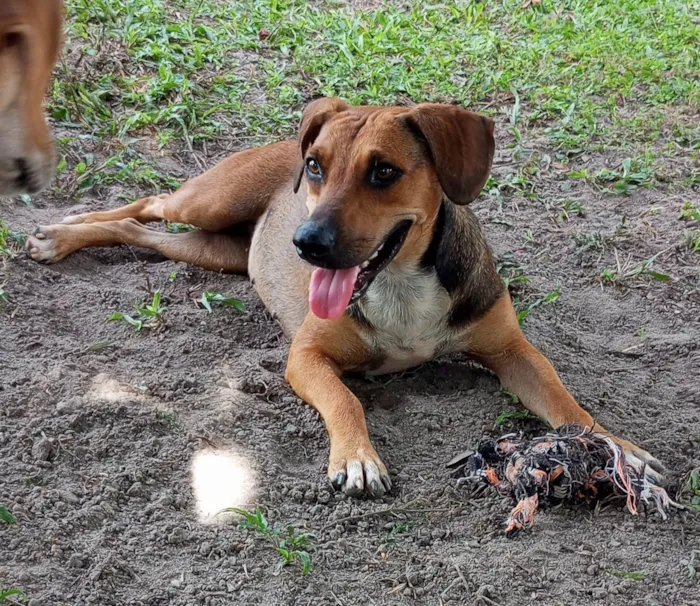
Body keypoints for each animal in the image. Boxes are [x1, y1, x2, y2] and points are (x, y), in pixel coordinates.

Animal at [27, 98, 660, 498]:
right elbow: (345, 399)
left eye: (383, 172)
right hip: (209, 202)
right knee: (151, 202)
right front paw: (356, 458)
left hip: (213, 248)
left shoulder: (513, 352)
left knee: (143, 230)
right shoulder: (306, 357)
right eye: (315, 167)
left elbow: (565, 403)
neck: (400, 282)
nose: (306, 243)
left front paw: (618, 448)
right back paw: (60, 231)